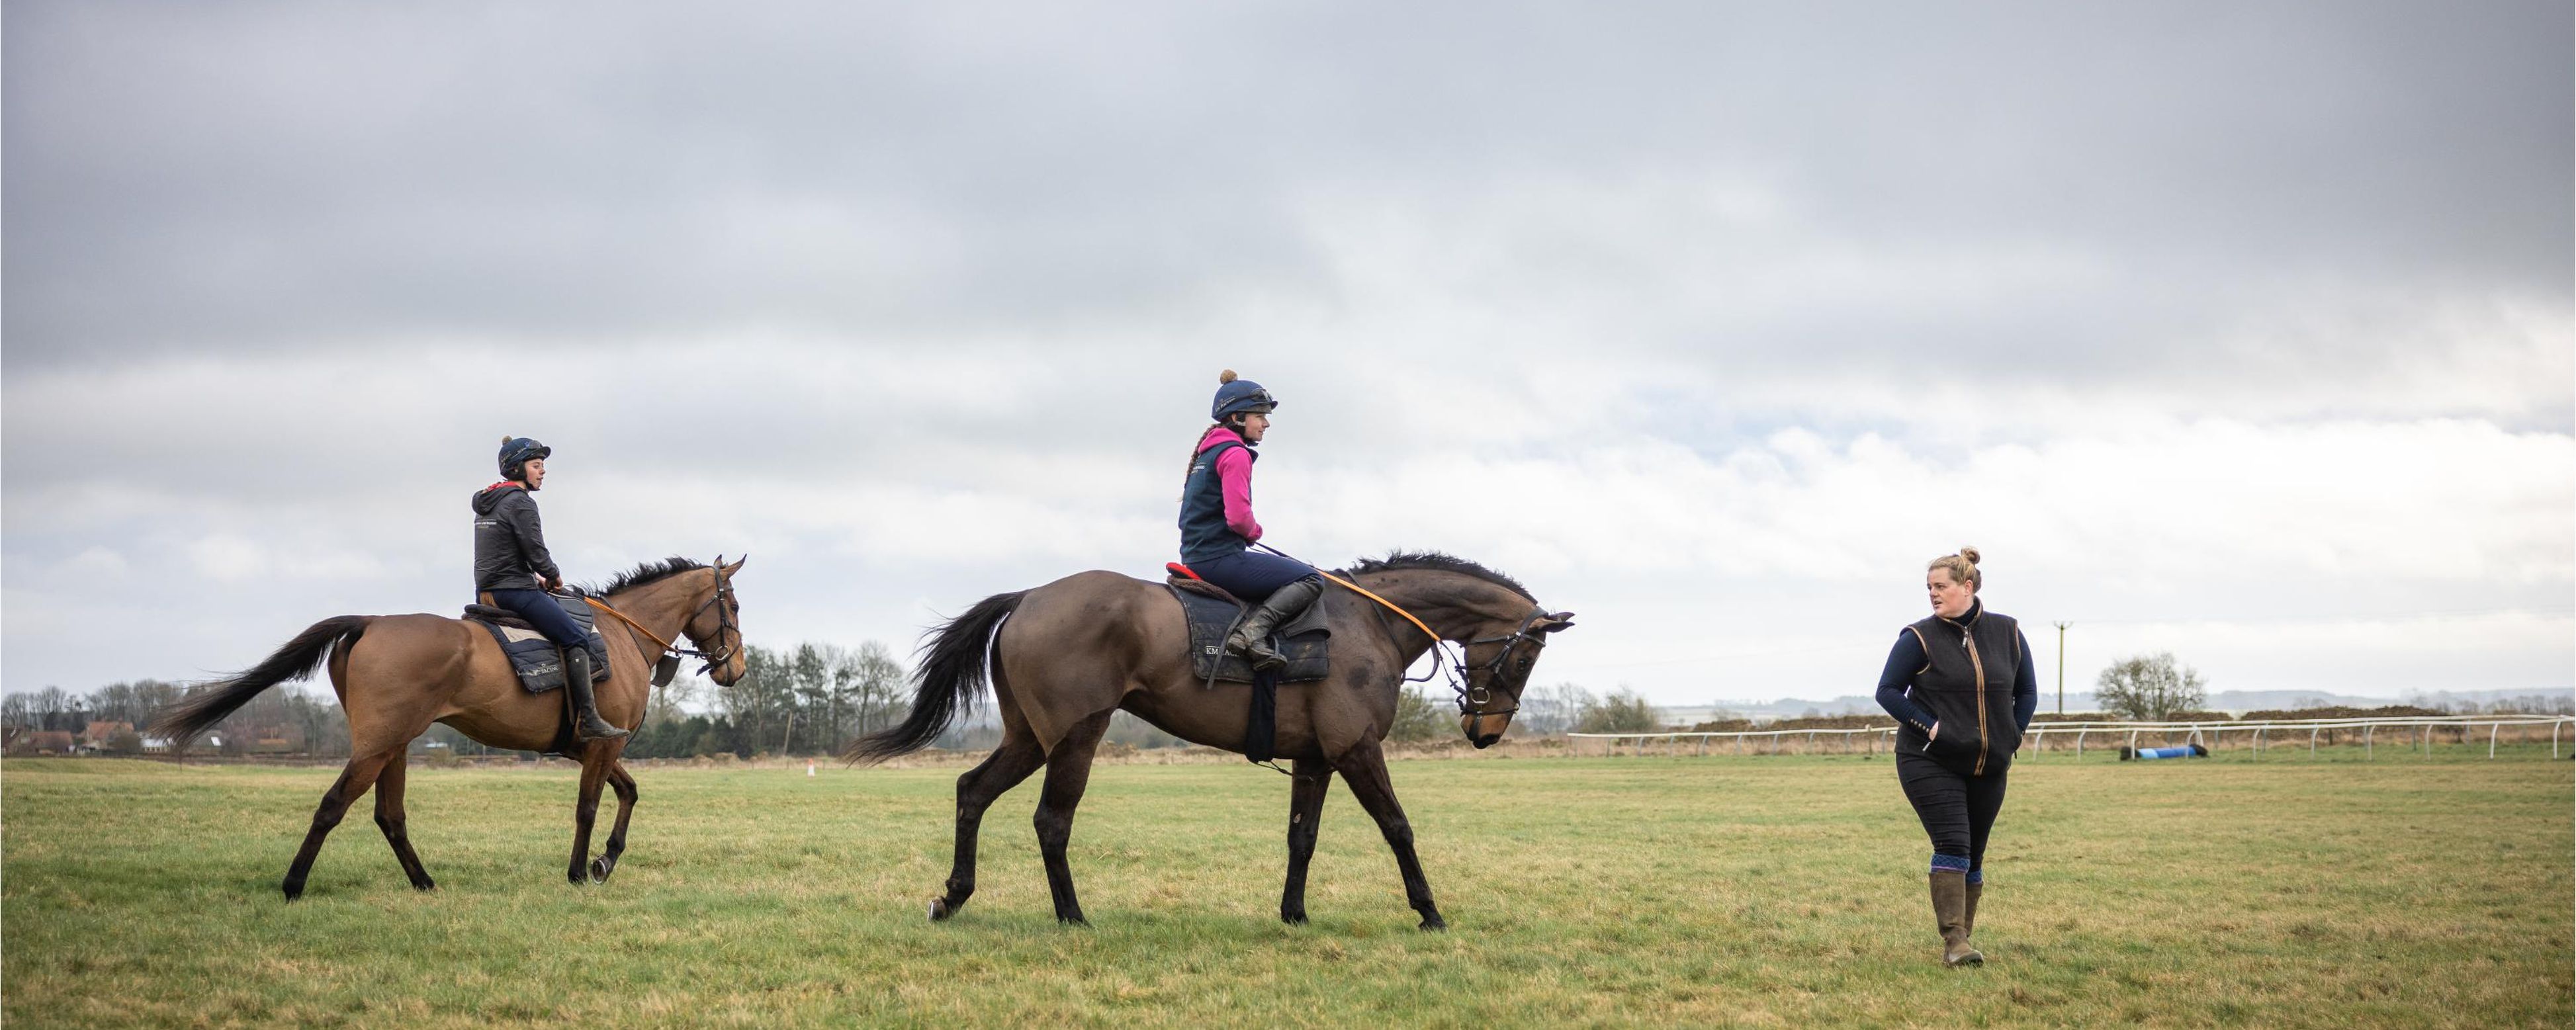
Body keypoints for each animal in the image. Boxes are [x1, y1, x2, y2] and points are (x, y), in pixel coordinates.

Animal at [154, 550, 746, 896]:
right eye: (734, 605)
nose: (735, 668)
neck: (622, 635)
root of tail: (372, 621)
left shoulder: (592, 748)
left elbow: (629, 793)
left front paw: (607, 859)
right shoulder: (601, 747)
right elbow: (588, 807)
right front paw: (581, 872)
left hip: (394, 746)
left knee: (389, 816)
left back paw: (423, 882)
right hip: (377, 747)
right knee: (333, 806)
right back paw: (295, 883)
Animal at [844, 550, 1566, 927]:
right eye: (1527, 655)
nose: (1485, 730)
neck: (1367, 623)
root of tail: (1029, 596)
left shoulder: (1314, 759)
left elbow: (1302, 837)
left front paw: (1294, 914)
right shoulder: (1356, 750)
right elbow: (1398, 828)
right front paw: (1429, 911)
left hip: (1028, 739)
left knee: (972, 791)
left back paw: (953, 896)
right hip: (1075, 738)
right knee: (1051, 821)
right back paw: (1071, 915)